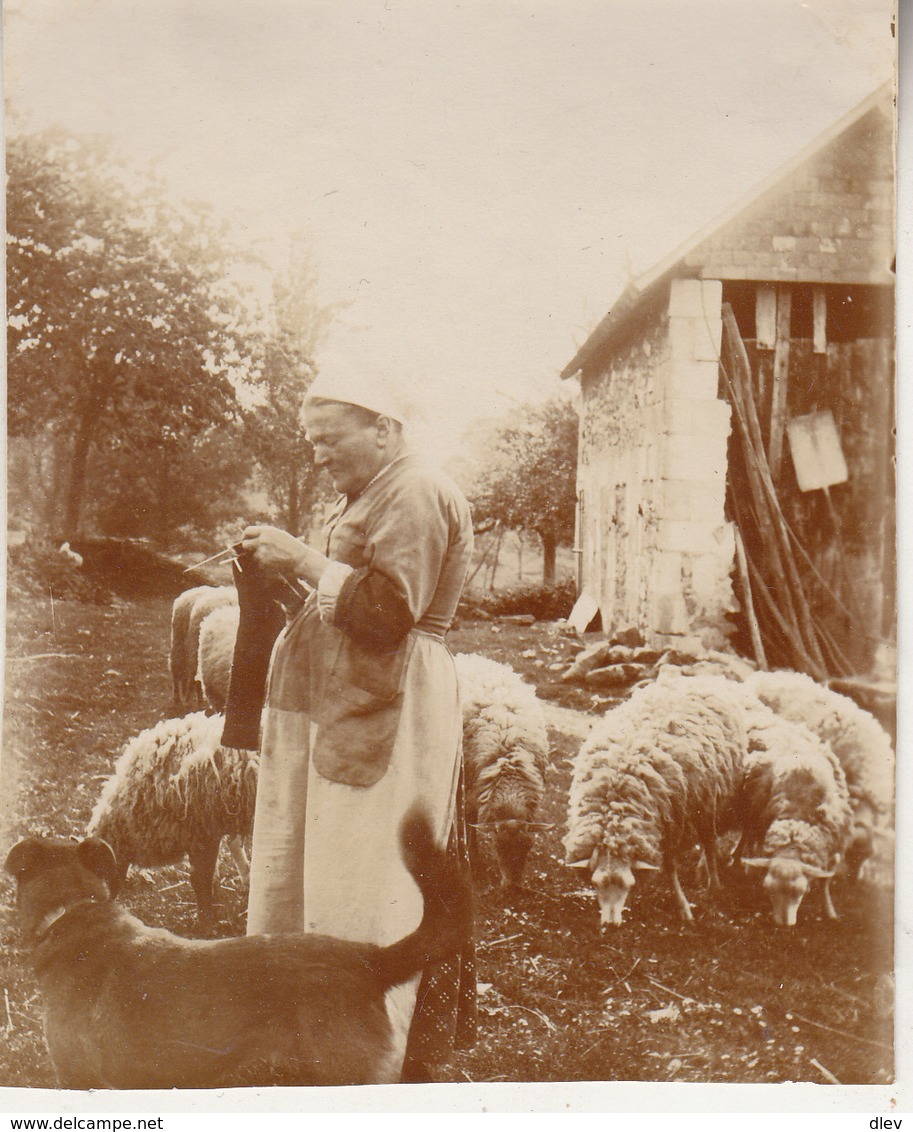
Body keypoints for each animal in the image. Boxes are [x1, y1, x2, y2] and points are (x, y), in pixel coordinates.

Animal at [454, 656, 554, 882]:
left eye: (528, 847)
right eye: (497, 847)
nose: (512, 887)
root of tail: (470, 656)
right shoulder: (470, 791)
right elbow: (470, 822)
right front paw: (474, 861)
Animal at [563, 674, 751, 923]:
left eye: (629, 884)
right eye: (595, 883)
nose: (611, 925)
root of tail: (699, 677)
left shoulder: (671, 823)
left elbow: (671, 867)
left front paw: (683, 907)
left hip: (707, 800)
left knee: (709, 841)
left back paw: (713, 882)